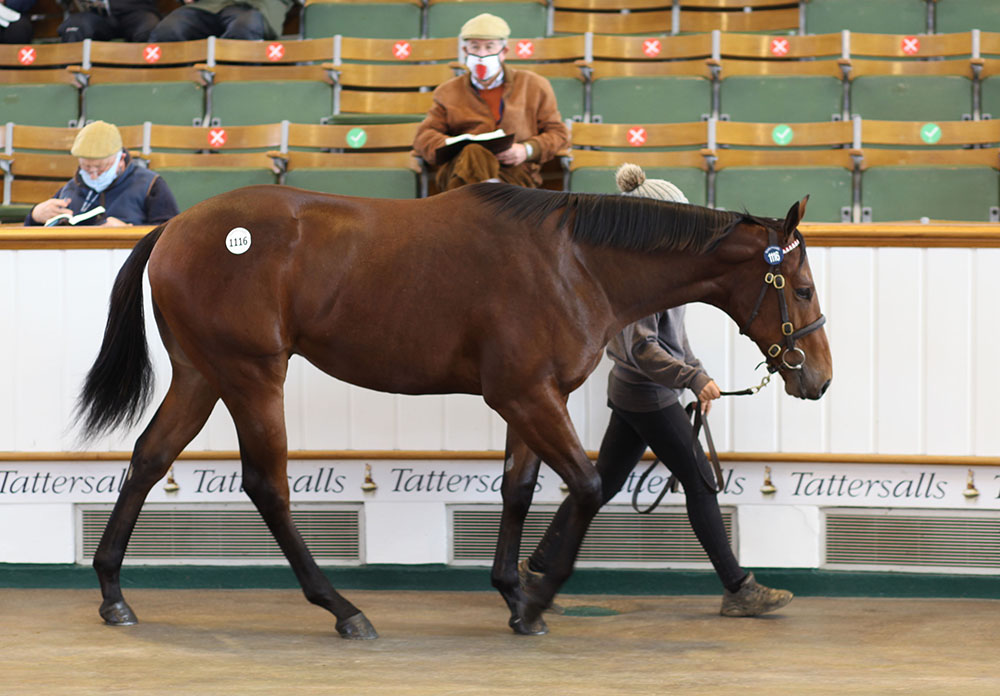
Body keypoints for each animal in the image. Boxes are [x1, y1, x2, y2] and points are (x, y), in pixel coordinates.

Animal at [76, 182, 828, 640]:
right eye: (802, 287)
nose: (817, 378)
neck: (574, 263)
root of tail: (174, 227)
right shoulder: (526, 395)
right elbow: (587, 486)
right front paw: (539, 596)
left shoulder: (532, 397)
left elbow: (519, 491)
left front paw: (515, 597)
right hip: (252, 375)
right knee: (267, 486)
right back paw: (343, 609)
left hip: (202, 374)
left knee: (149, 458)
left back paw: (113, 593)